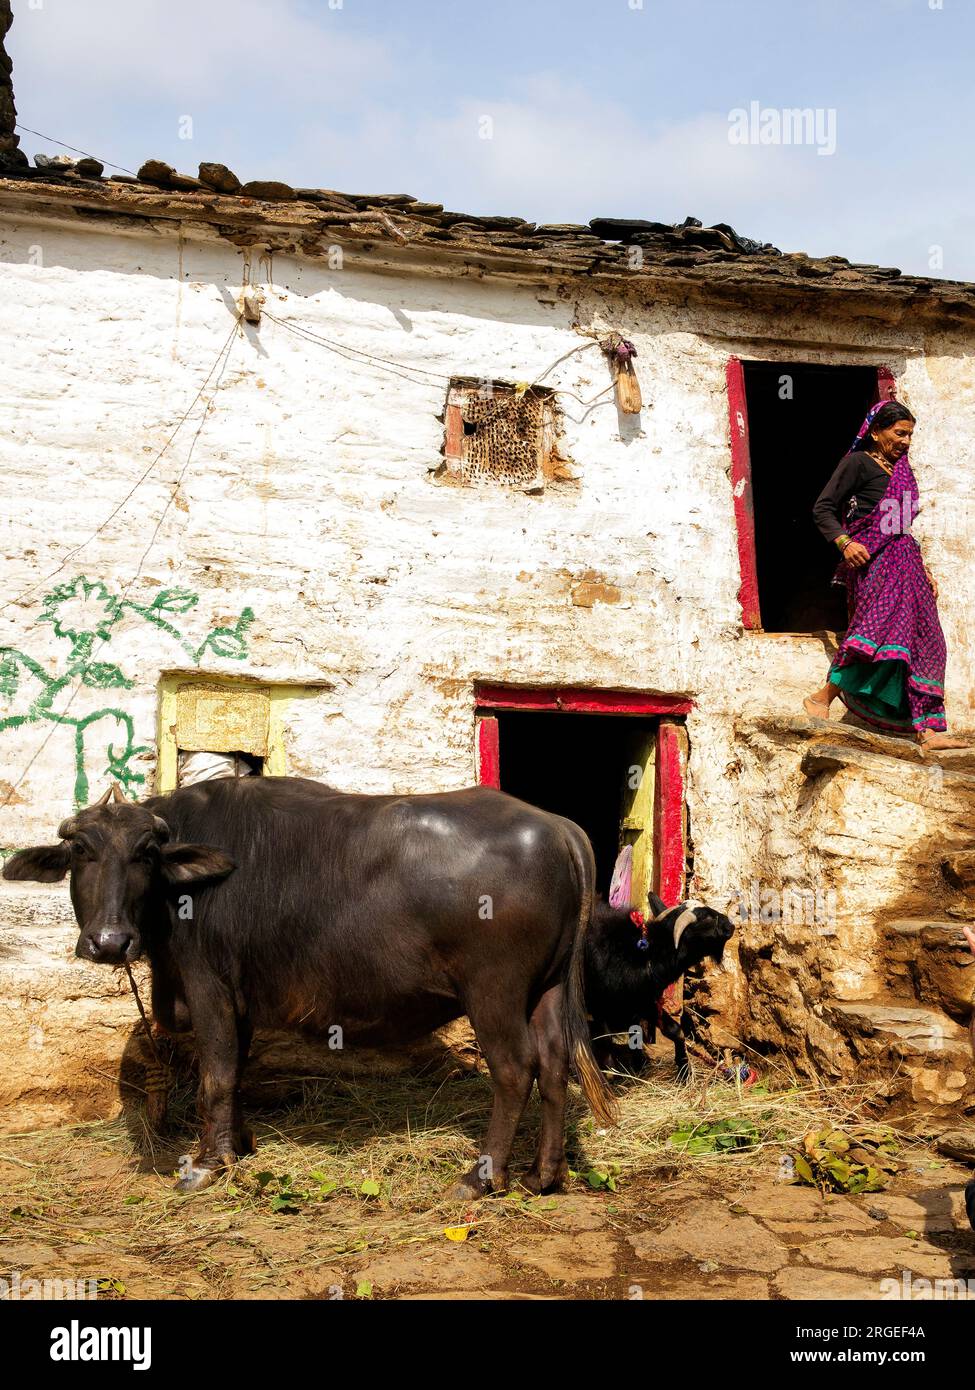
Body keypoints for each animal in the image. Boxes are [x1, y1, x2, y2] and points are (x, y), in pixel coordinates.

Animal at [7, 783, 611, 1195]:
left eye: (145, 854)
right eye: (81, 852)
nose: (109, 941)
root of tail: (558, 828)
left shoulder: (208, 986)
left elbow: (214, 1074)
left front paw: (205, 1164)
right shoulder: (240, 1000)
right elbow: (236, 1071)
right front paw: (239, 1144)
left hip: (494, 994)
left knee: (515, 1070)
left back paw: (480, 1177)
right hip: (548, 990)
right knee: (555, 1064)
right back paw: (544, 1173)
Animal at [586, 895, 728, 1078]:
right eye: (707, 918)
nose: (730, 925)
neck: (645, 955)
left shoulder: (643, 1001)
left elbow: (673, 1030)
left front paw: (683, 1070)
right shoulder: (602, 1007)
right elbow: (606, 1039)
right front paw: (610, 1072)